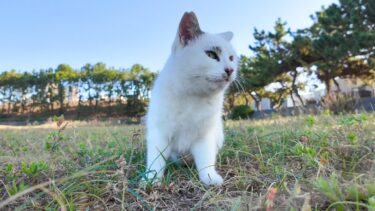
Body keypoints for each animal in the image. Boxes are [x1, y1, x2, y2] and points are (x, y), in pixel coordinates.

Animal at [145, 11, 236, 186]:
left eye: (231, 58)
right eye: (211, 54)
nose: (230, 69)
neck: (193, 97)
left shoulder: (205, 137)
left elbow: (205, 160)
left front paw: (209, 177)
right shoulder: (160, 134)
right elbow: (156, 160)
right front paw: (151, 180)